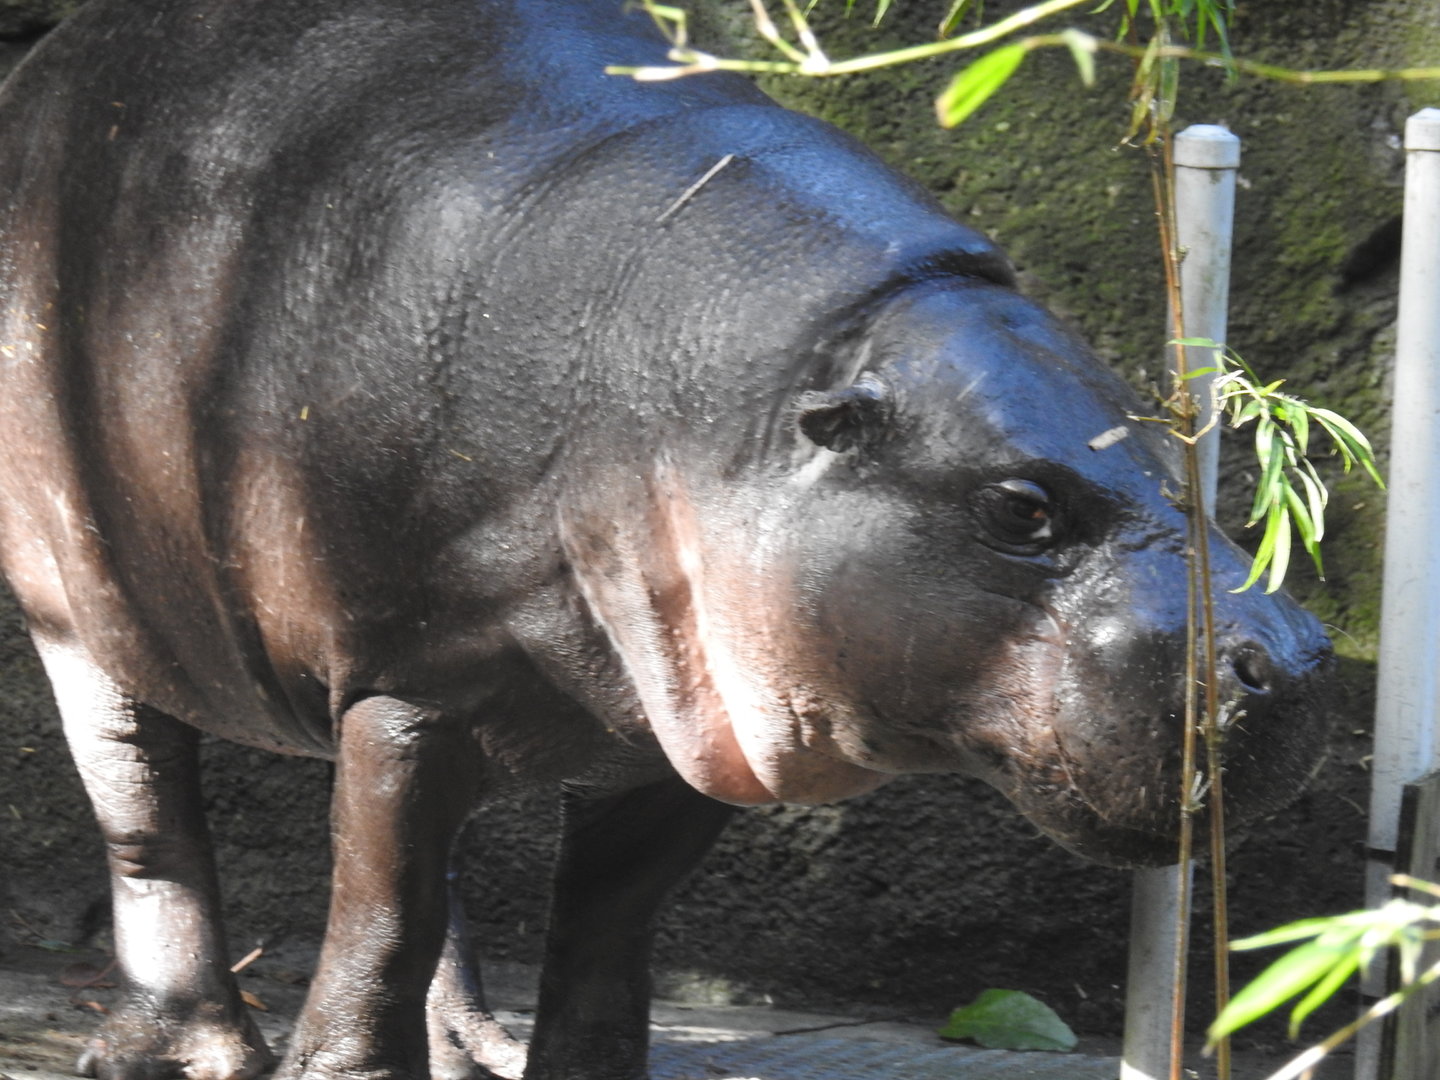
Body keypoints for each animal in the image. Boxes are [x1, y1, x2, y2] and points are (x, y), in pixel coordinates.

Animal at [0, 0, 1330, 1077]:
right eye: (1020, 509)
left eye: (1181, 442)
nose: (1299, 655)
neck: (741, 409)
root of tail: (49, 61)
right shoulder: (413, 692)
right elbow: (378, 922)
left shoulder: (693, 723)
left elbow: (601, 922)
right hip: (78, 609)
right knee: (148, 811)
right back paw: (182, 1051)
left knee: (425, 876)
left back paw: (471, 1047)